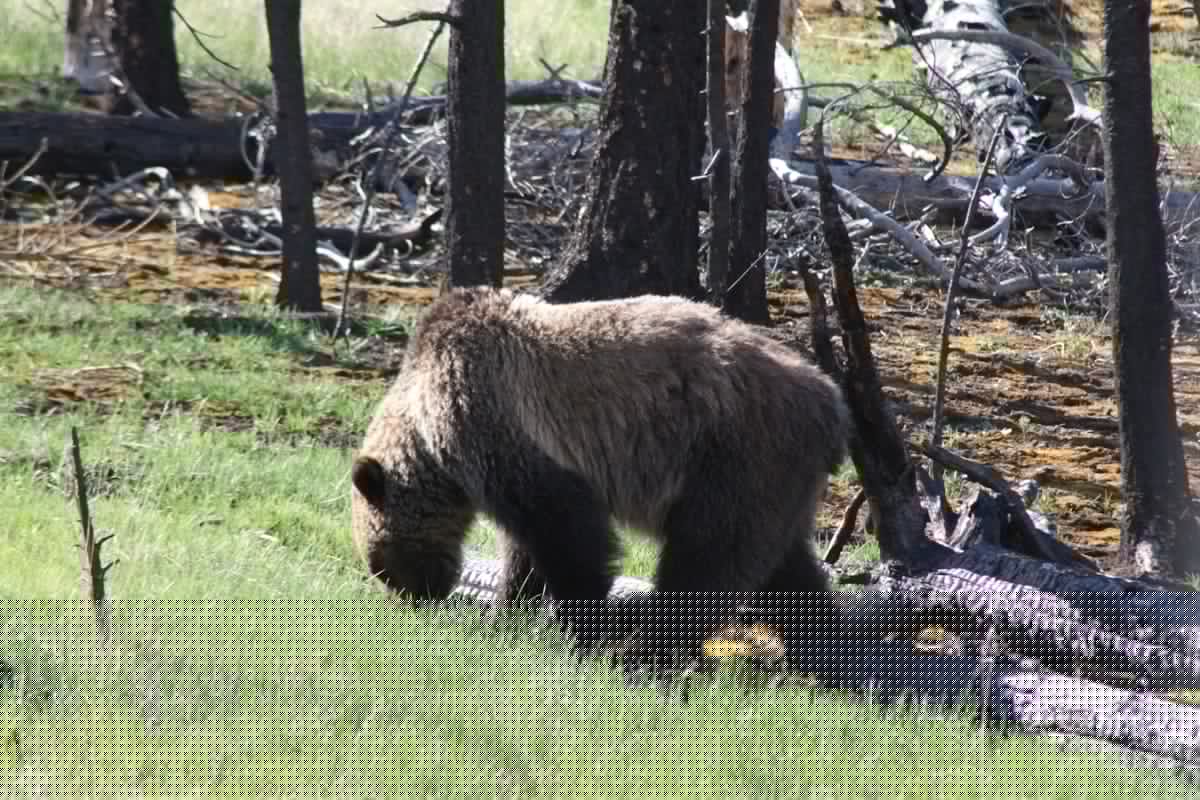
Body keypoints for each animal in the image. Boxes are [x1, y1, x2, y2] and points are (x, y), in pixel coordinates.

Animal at [350, 286, 852, 666]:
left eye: (381, 564)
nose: (420, 597)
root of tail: (832, 404)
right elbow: (524, 545)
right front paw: (507, 612)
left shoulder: (503, 419)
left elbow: (566, 530)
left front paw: (580, 629)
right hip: (778, 480)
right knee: (785, 568)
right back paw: (826, 653)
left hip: (732, 452)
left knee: (706, 559)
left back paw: (641, 655)